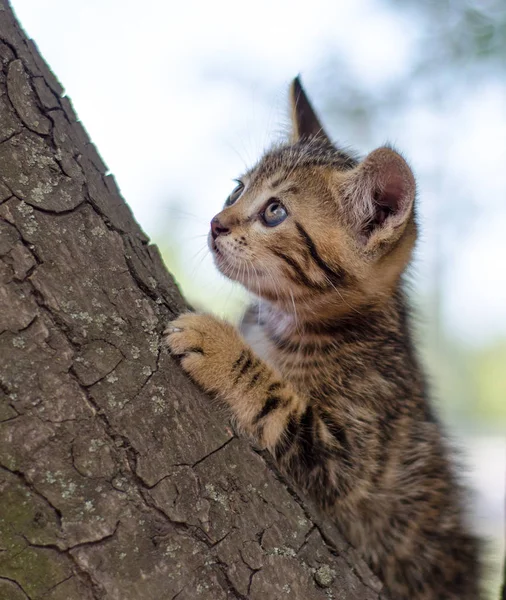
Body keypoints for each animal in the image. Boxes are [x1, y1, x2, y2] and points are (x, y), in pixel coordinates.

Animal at [165, 77, 482, 596]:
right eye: (237, 188)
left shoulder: (349, 458)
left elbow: (279, 399)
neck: (286, 321)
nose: (216, 223)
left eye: (274, 211)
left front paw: (218, 344)